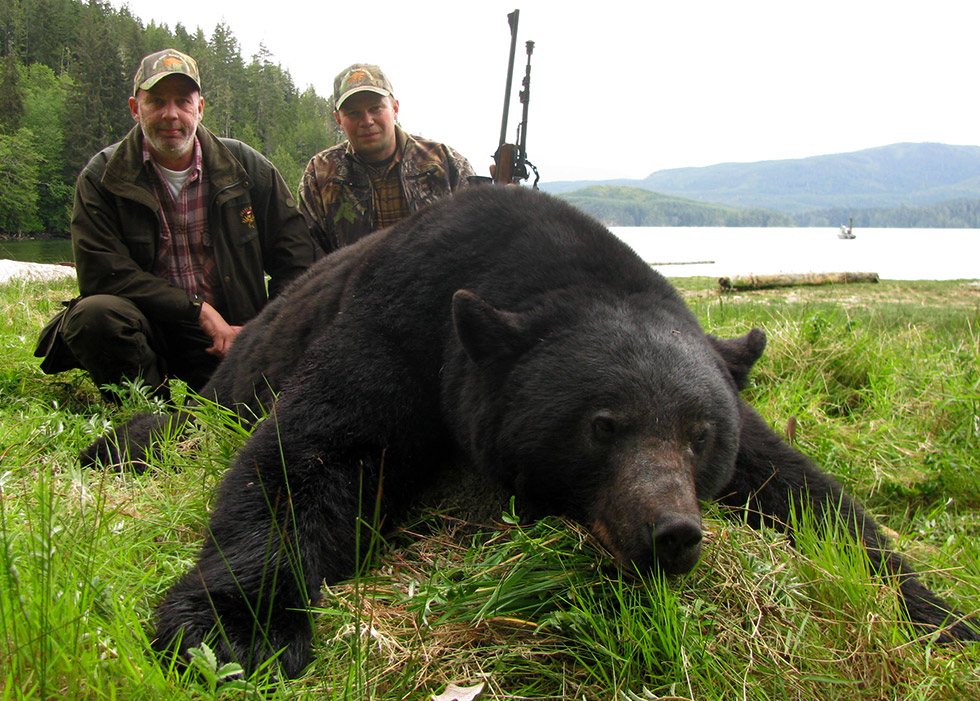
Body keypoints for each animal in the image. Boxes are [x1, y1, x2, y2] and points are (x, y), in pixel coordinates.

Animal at [83, 185, 978, 679]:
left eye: (698, 434)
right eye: (601, 425)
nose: (673, 531)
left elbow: (807, 491)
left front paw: (938, 613)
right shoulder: (405, 321)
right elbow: (314, 455)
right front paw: (236, 630)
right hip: (227, 385)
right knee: (176, 426)